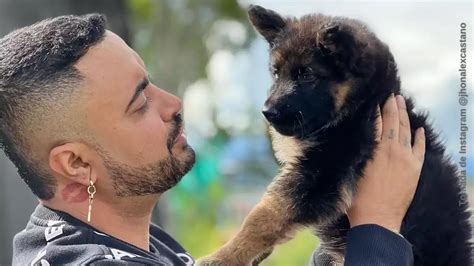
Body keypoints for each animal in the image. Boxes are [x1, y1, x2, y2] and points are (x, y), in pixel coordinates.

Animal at [195, 4, 470, 266]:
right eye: (276, 73)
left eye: (306, 74)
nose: (267, 112)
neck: (364, 105)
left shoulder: (323, 172)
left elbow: (264, 216)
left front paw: (222, 256)